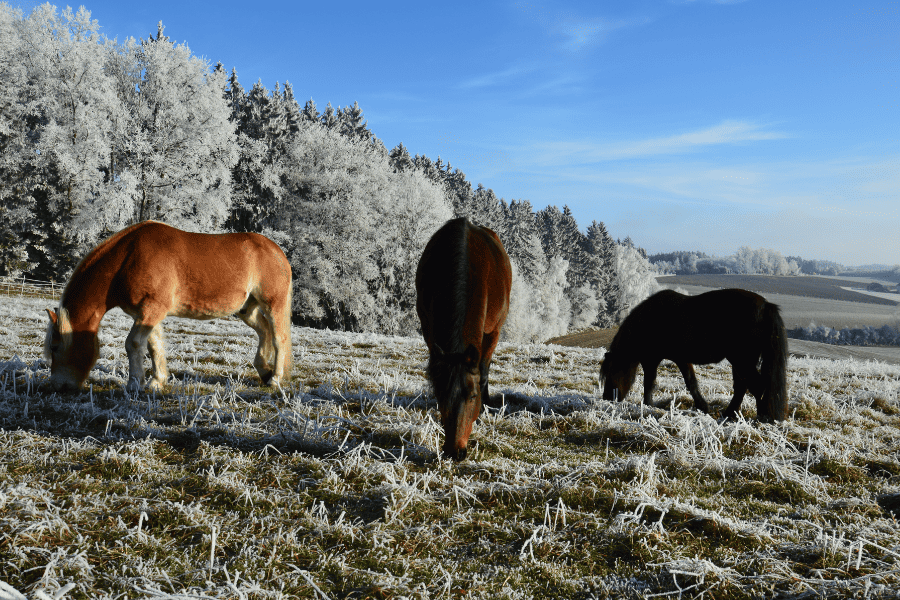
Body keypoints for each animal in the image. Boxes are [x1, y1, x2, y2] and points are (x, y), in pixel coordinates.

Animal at [44, 220, 292, 394]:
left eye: (55, 347)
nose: (57, 387)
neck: (129, 257)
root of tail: (276, 251)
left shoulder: (151, 310)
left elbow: (133, 344)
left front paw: (134, 384)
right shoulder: (147, 314)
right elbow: (154, 345)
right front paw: (157, 381)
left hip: (273, 304)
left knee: (279, 338)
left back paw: (275, 379)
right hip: (247, 310)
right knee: (264, 331)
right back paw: (265, 372)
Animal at [416, 218, 510, 462]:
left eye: (472, 396)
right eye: (441, 395)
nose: (454, 452)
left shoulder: (493, 332)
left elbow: (483, 372)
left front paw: (483, 409)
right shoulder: (428, 328)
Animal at [604, 290, 788, 422]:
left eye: (610, 374)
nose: (607, 398)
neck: (650, 320)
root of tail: (766, 306)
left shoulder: (653, 359)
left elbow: (650, 383)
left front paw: (648, 405)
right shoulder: (681, 359)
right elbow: (691, 382)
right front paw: (703, 407)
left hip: (741, 360)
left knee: (757, 386)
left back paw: (762, 418)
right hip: (740, 361)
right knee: (742, 387)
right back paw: (729, 414)